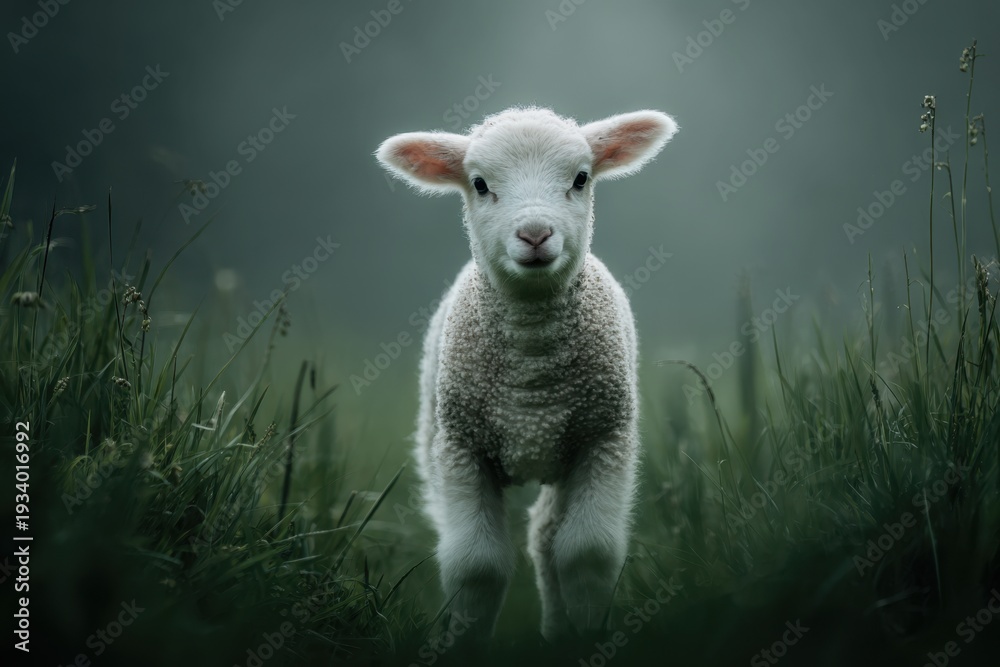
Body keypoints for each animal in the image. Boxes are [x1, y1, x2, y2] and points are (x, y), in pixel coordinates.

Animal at [375, 106, 678, 642]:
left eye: (581, 178)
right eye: (479, 184)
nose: (535, 235)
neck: (532, 378)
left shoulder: (605, 439)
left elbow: (586, 555)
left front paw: (591, 637)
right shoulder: (461, 448)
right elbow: (476, 566)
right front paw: (462, 642)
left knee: (546, 537)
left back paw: (559, 633)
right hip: (435, 438)